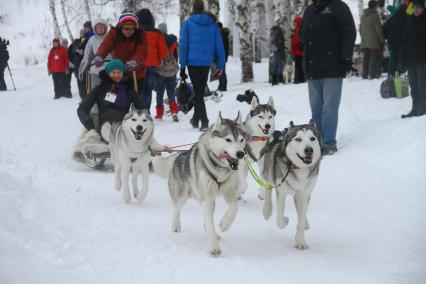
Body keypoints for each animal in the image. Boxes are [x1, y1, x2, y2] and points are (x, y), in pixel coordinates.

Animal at [152, 112, 246, 256]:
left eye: (241, 140)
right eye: (228, 139)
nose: (240, 154)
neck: (219, 168)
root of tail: (178, 156)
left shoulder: (229, 192)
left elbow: (234, 206)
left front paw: (224, 224)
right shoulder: (206, 199)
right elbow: (210, 223)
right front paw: (214, 247)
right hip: (182, 196)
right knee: (176, 209)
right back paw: (176, 226)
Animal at [262, 121, 322, 250]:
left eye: (312, 138)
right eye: (298, 139)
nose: (309, 150)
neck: (298, 168)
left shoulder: (304, 194)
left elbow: (301, 217)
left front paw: (300, 241)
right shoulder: (281, 192)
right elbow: (280, 221)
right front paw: (286, 220)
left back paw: (305, 222)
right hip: (269, 173)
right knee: (268, 189)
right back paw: (267, 211)